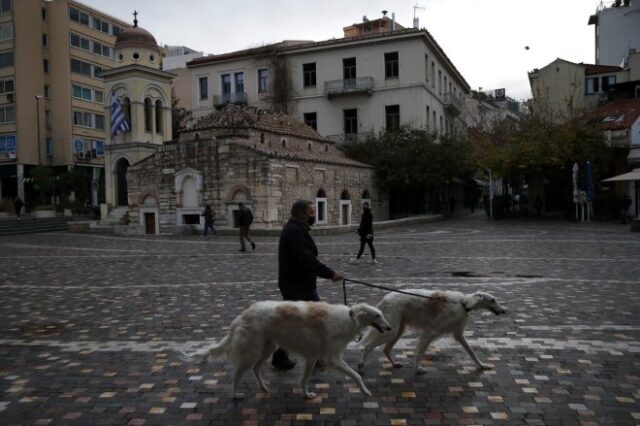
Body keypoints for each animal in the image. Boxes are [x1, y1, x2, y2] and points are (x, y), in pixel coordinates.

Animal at [179, 300, 390, 400]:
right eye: (377, 315)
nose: (389, 328)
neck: (350, 318)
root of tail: (242, 316)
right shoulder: (333, 358)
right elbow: (356, 375)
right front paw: (366, 391)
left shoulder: (312, 356)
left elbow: (304, 379)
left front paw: (306, 395)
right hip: (253, 350)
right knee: (238, 374)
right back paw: (235, 394)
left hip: (268, 347)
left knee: (256, 369)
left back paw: (264, 388)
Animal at [360, 290, 504, 372]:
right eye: (493, 300)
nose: (504, 311)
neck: (463, 304)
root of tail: (386, 298)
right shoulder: (430, 332)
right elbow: (418, 353)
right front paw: (418, 369)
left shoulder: (458, 334)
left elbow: (471, 352)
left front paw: (481, 365)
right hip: (392, 330)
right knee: (367, 347)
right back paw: (361, 365)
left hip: (398, 330)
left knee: (386, 349)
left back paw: (395, 364)